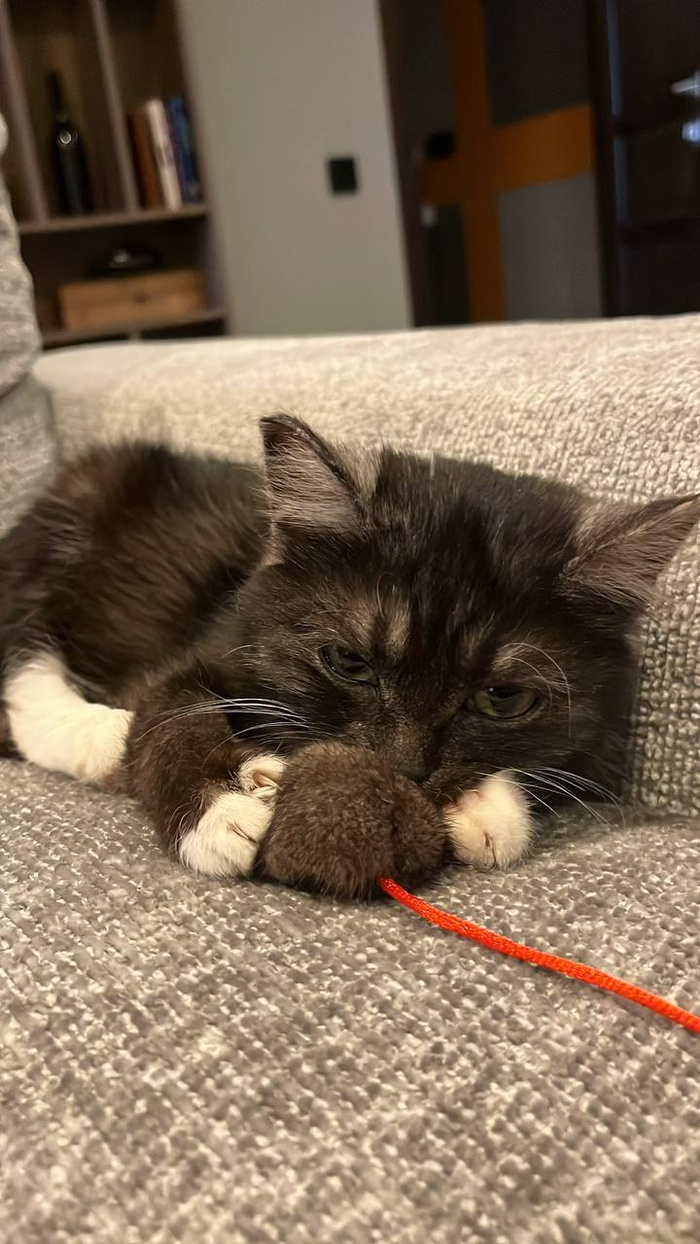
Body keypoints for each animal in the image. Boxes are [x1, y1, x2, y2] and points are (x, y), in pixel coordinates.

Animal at [1, 414, 698, 897]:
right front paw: (220, 811)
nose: (404, 772)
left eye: (503, 697)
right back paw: (97, 738)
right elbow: (167, 708)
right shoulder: (212, 639)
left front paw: (489, 808)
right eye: (349, 662)